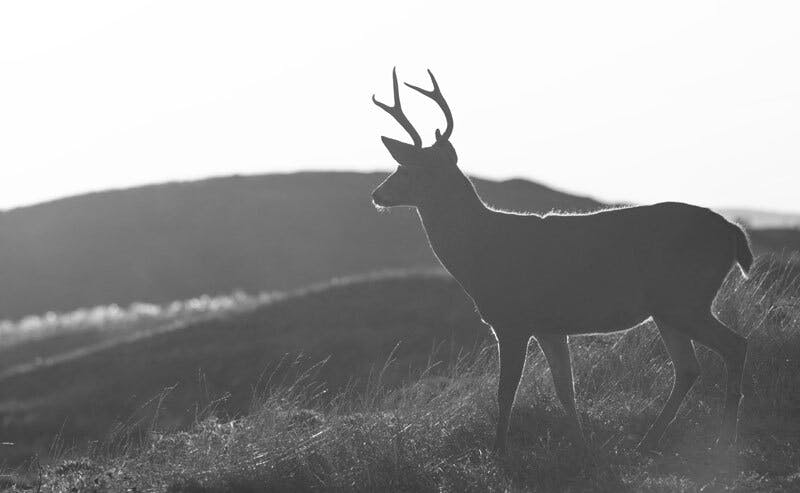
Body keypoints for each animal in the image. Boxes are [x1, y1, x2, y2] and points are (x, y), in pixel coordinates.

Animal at [368, 68, 752, 454]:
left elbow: (506, 392)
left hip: (685, 298)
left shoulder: (512, 320)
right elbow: (565, 390)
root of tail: (734, 232)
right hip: (669, 308)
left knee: (735, 345)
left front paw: (499, 451)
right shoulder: (550, 327)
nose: (377, 194)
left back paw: (726, 439)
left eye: (406, 168)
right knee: (688, 367)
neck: (481, 250)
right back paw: (648, 441)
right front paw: (583, 447)